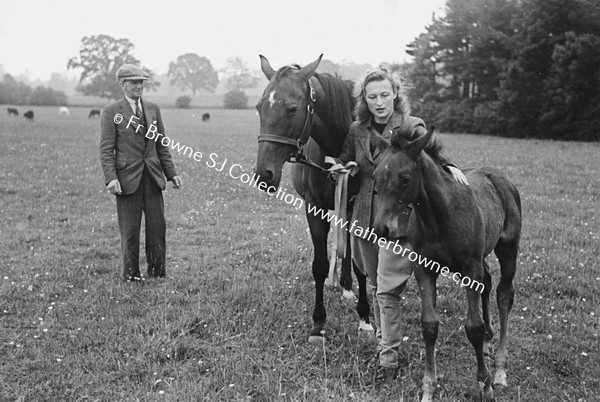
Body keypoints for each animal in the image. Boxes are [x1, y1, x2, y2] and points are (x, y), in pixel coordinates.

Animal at [252, 54, 370, 342]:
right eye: (259, 107)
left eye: (292, 108)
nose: (263, 174)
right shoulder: (314, 209)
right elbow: (320, 264)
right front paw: (318, 323)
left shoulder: (357, 208)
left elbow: (359, 264)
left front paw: (365, 318)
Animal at [372, 130, 524, 400]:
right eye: (375, 176)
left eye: (405, 178)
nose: (382, 229)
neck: (440, 217)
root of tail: (500, 177)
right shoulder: (424, 269)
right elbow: (429, 326)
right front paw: (428, 388)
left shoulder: (469, 268)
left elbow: (473, 326)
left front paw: (485, 385)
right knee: (487, 282)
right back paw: (488, 342)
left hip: (507, 248)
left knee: (504, 294)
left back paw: (500, 370)